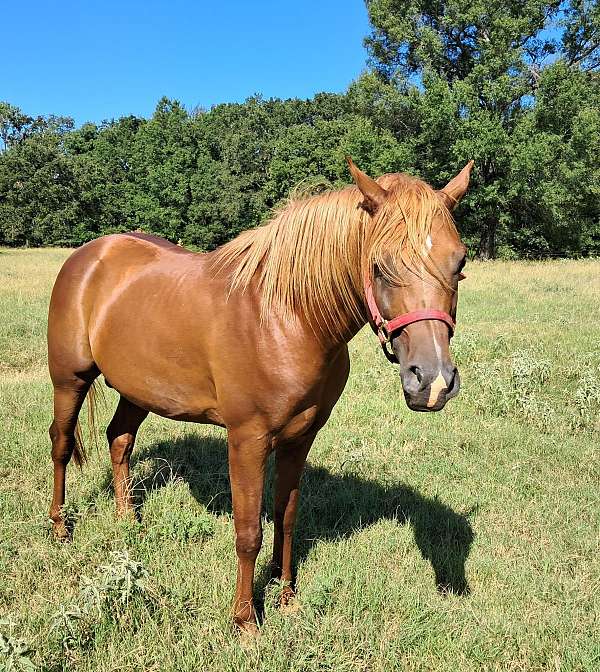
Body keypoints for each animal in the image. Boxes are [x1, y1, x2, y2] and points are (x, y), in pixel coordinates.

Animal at [47, 158, 474, 632]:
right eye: (380, 266)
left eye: (460, 262)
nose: (432, 382)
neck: (288, 317)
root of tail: (91, 254)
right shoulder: (246, 440)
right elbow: (249, 531)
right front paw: (245, 621)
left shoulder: (299, 438)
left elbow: (286, 517)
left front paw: (286, 597)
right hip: (69, 380)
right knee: (61, 444)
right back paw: (60, 529)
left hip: (137, 390)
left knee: (119, 439)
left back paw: (129, 522)